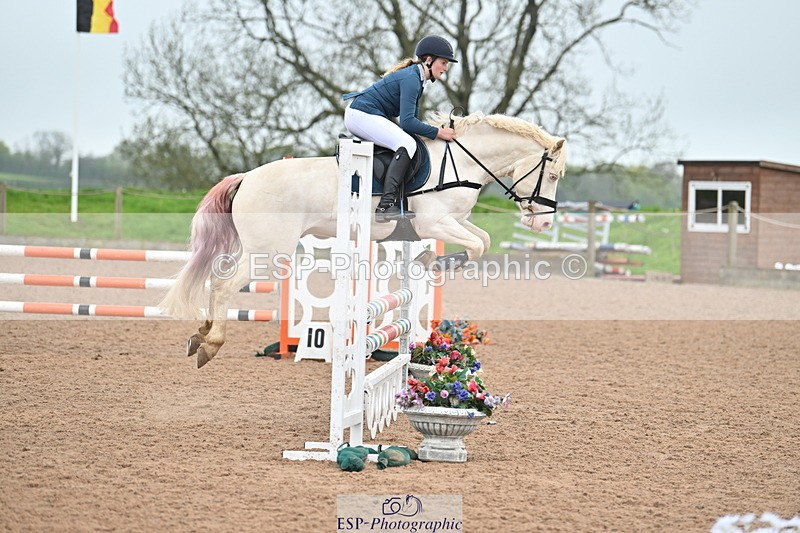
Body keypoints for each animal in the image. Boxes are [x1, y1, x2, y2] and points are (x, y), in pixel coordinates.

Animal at [160, 111, 567, 368]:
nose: (544, 224)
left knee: (216, 280)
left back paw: (201, 333)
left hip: (256, 247)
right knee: (224, 286)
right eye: (552, 176)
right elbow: (479, 244)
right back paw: (210, 344)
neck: (461, 164)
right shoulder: (435, 223)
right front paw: (430, 262)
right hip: (269, 251)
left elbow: (481, 240)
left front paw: (428, 262)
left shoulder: (454, 222)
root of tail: (246, 177)